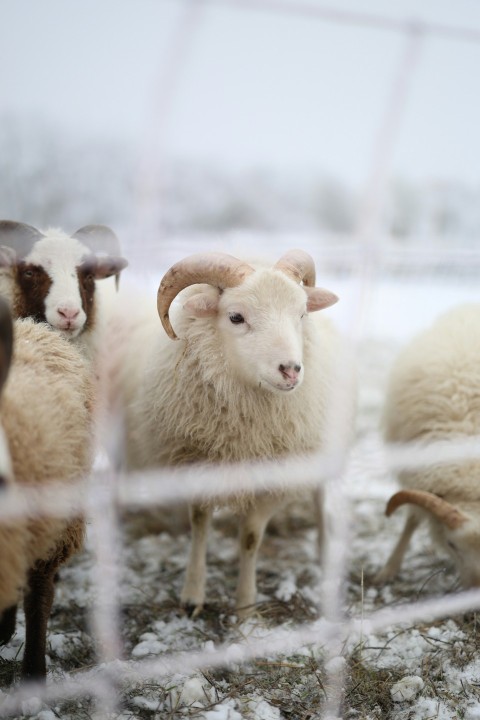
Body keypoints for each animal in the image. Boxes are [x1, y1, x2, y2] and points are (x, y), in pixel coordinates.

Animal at [108, 249, 351, 617]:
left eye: (301, 313)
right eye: (236, 317)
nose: (291, 370)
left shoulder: (272, 479)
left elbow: (250, 538)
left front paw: (245, 606)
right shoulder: (196, 462)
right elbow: (199, 525)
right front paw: (192, 594)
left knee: (320, 497)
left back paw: (325, 554)